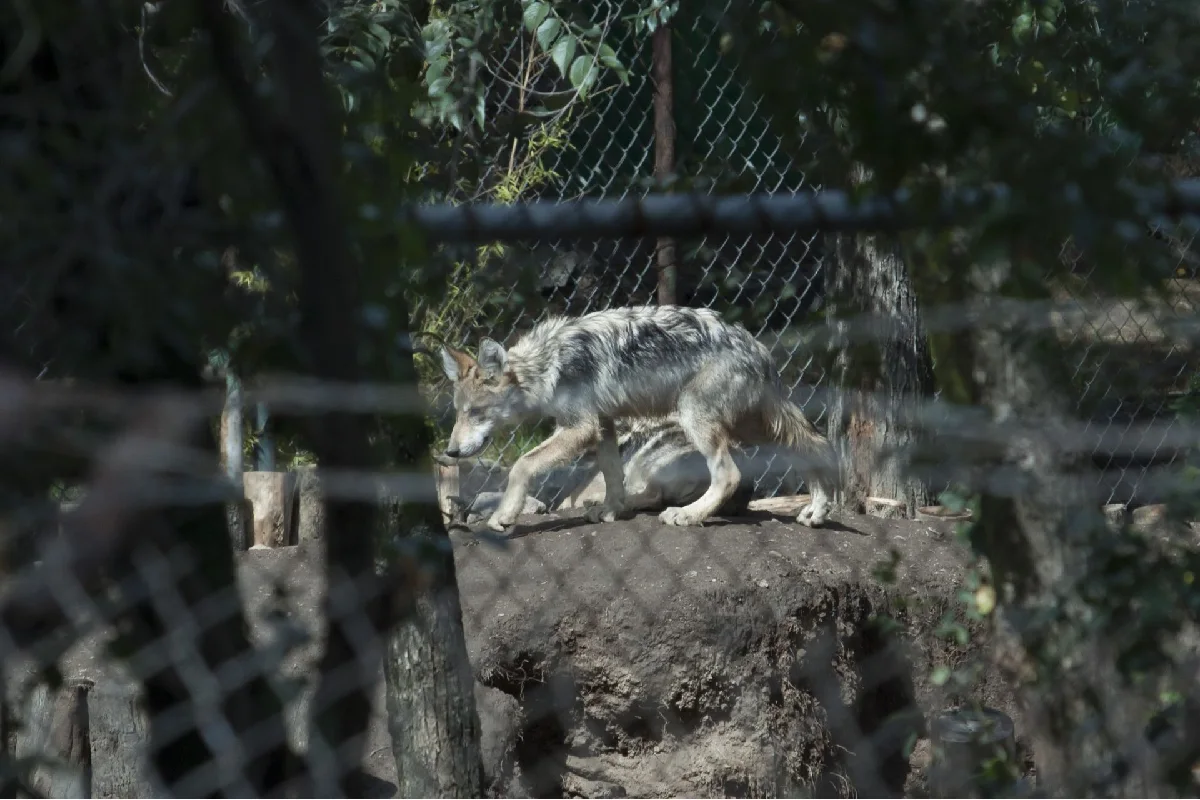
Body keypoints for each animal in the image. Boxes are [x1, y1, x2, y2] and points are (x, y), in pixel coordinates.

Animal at [439, 306, 840, 532]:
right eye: (459, 413)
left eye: (477, 413)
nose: (451, 452)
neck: (547, 365)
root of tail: (756, 345)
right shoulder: (602, 425)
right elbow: (613, 475)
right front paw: (611, 511)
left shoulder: (579, 427)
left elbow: (522, 465)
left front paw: (505, 516)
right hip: (753, 426)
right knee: (814, 445)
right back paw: (817, 511)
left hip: (698, 418)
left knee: (729, 475)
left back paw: (688, 516)